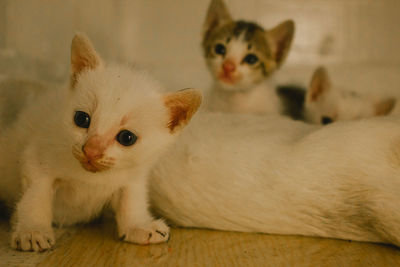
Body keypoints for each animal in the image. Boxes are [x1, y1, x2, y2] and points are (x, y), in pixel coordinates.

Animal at [0, 33, 202, 251]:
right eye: (81, 119)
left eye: (126, 138)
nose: (91, 150)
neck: (92, 178)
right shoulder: (36, 157)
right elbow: (36, 195)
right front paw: (32, 230)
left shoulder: (133, 176)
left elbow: (132, 198)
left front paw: (138, 226)